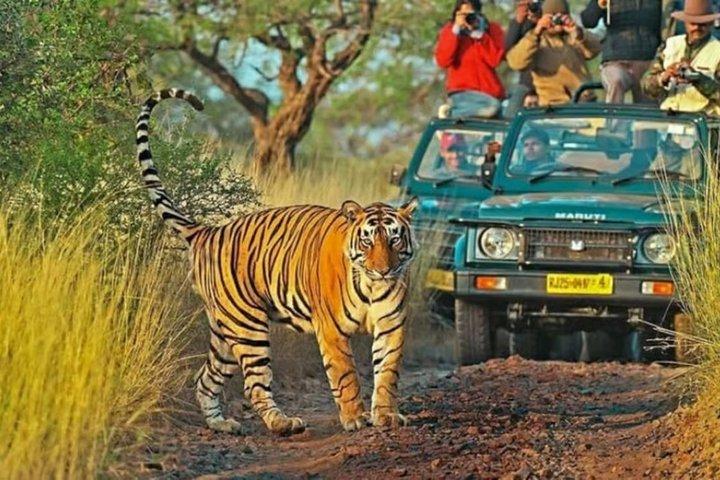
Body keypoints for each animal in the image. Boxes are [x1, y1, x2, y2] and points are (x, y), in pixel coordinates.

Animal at [135, 88, 419, 435]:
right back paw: (283, 423)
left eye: (394, 239)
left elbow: (388, 374)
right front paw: (354, 418)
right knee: (254, 384)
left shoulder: (391, 325)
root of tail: (208, 231)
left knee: (205, 379)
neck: (371, 285)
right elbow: (346, 376)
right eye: (367, 241)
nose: (383, 270)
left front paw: (387, 415)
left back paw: (222, 424)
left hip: (224, 332)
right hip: (247, 326)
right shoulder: (332, 331)